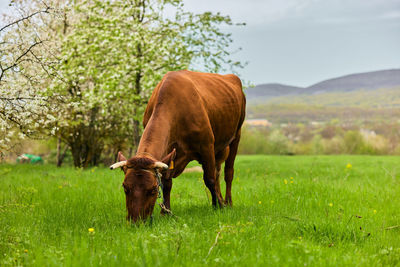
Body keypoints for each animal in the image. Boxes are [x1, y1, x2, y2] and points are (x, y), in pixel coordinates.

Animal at [111, 70, 245, 223]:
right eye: (125, 187)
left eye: (153, 189)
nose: (136, 222)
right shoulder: (169, 153)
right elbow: (167, 182)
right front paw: (165, 212)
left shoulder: (206, 145)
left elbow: (209, 179)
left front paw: (217, 206)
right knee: (218, 172)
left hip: (236, 135)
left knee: (228, 173)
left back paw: (227, 202)